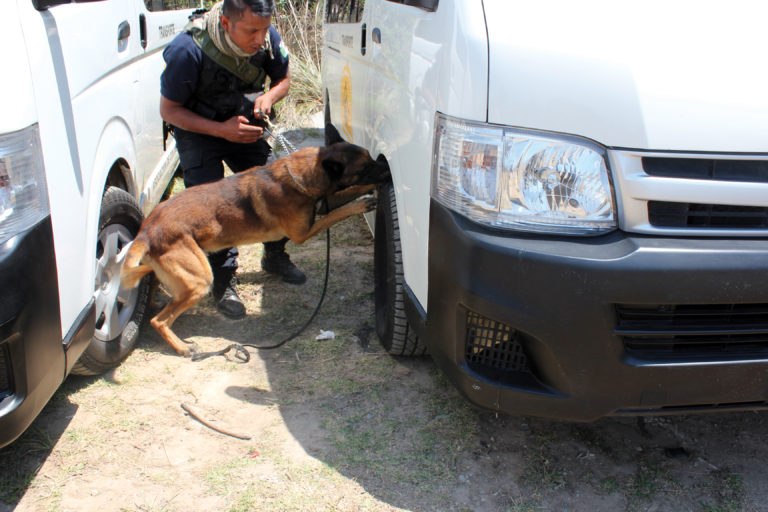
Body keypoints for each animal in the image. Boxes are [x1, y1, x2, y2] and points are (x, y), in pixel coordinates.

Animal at [124, 140, 396, 356]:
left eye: (372, 159)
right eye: (364, 168)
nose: (387, 170)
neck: (299, 177)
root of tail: (147, 229)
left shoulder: (322, 204)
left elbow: (347, 193)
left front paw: (364, 191)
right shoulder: (304, 232)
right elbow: (338, 212)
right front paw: (361, 204)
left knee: (155, 292)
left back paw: (158, 301)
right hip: (199, 280)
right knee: (160, 321)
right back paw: (182, 347)